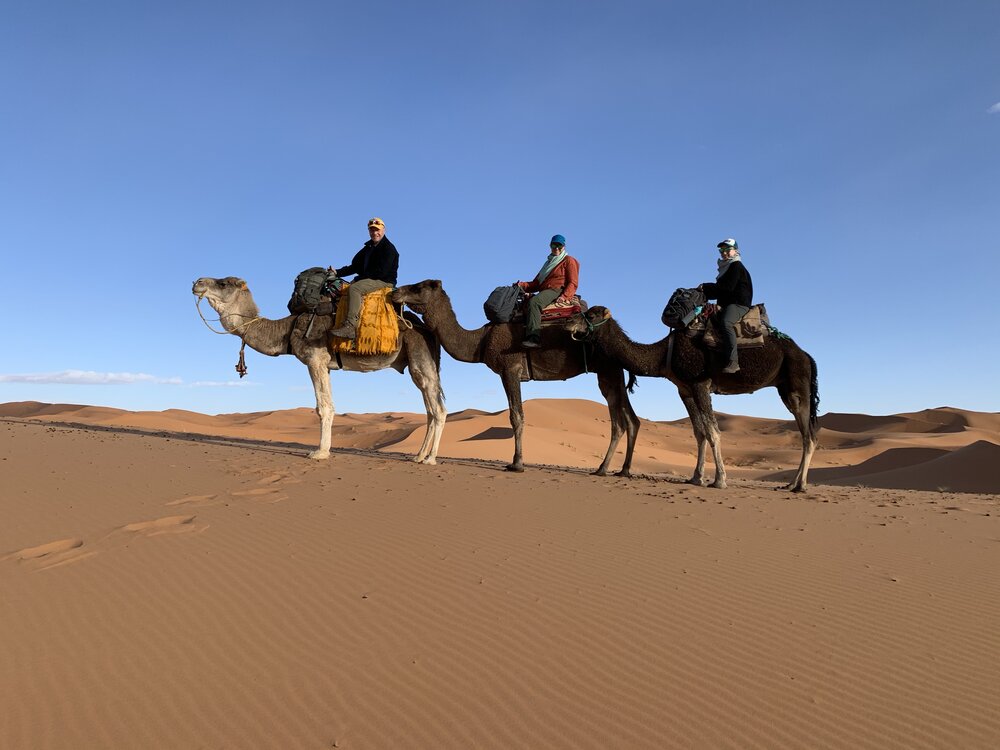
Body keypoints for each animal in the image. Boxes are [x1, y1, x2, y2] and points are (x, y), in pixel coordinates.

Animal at [193, 276, 444, 464]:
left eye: (224, 283)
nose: (197, 282)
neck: (288, 330)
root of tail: (427, 329)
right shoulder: (326, 365)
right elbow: (326, 403)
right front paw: (323, 449)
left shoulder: (315, 359)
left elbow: (324, 407)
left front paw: (320, 452)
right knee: (430, 409)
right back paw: (419, 455)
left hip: (419, 355)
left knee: (438, 409)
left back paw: (430, 458)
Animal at [390, 280, 640, 478]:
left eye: (418, 287)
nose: (395, 292)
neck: (481, 340)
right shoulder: (508, 372)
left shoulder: (510, 369)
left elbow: (516, 417)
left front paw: (516, 464)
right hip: (611, 372)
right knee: (631, 419)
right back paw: (622, 470)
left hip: (608, 370)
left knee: (621, 418)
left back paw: (606, 469)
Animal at [568, 306, 816, 494]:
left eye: (591, 315)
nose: (569, 321)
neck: (663, 355)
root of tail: (806, 355)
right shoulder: (684, 389)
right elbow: (699, 432)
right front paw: (696, 477)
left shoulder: (700, 384)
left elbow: (713, 432)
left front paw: (719, 480)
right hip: (785, 387)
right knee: (807, 434)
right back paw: (791, 484)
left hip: (796, 385)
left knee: (809, 436)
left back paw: (800, 485)